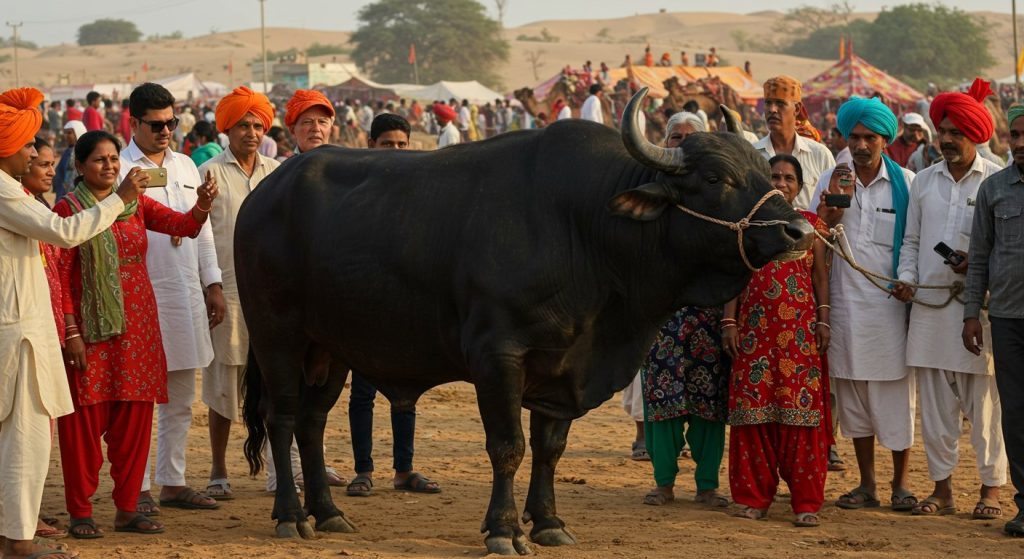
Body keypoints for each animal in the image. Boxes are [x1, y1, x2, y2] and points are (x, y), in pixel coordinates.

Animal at [236, 88, 813, 555]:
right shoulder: (498, 357)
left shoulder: (562, 366)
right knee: (282, 418)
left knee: (311, 423)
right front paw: (503, 529)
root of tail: (262, 195)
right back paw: (291, 516)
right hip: (277, 338)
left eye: (763, 170)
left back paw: (328, 513)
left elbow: (550, 449)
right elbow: (508, 446)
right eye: (716, 178)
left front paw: (549, 522)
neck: (585, 227)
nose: (798, 231)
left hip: (329, 351)